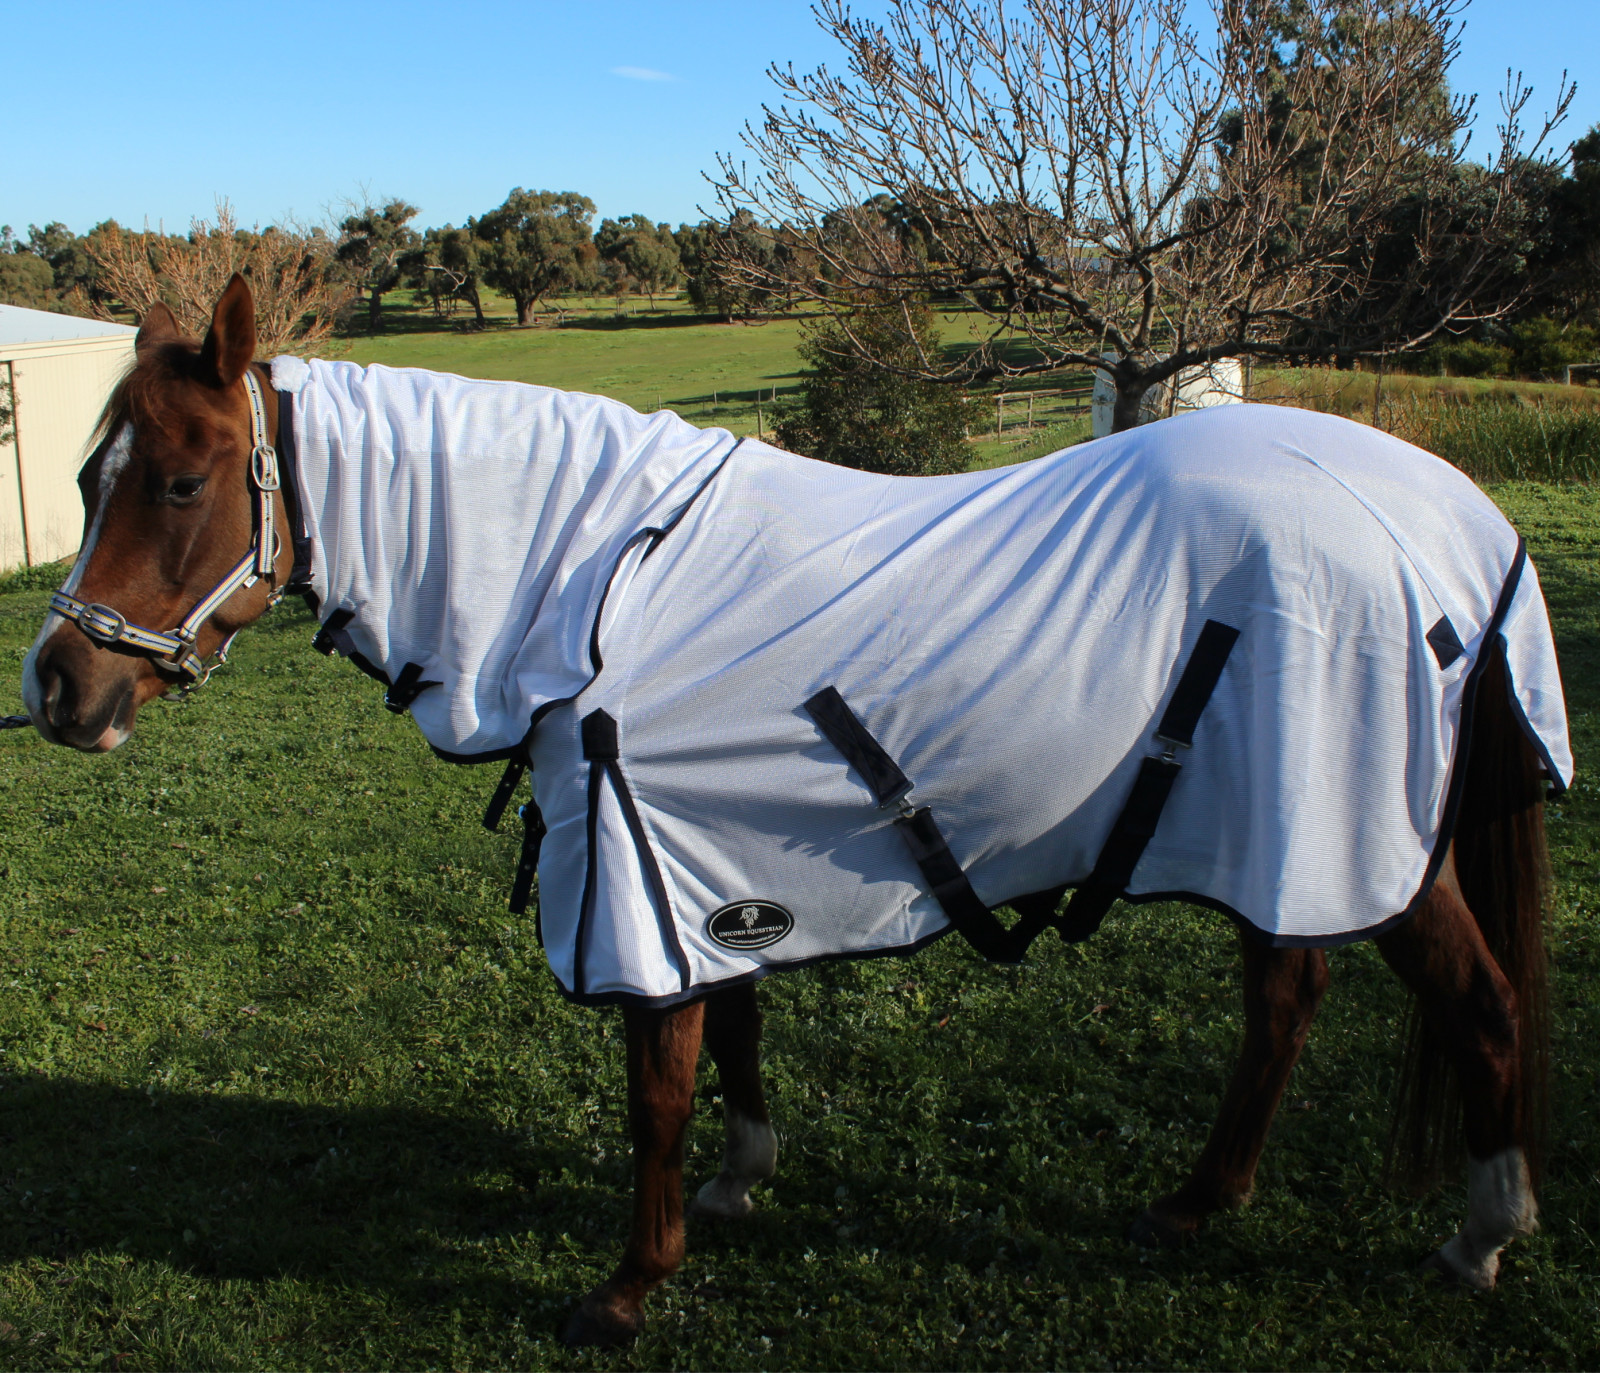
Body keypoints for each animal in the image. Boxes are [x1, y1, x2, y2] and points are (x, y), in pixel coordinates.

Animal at [21, 275, 1566, 1347]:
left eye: (179, 481)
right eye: (88, 478)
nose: (58, 689)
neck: (588, 580)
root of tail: (1452, 517)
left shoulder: (637, 870)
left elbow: (656, 1085)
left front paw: (627, 1286)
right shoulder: (695, 856)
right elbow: (733, 1035)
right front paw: (736, 1185)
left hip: (1361, 834)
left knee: (1483, 1006)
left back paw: (1481, 1236)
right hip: (1272, 832)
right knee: (1286, 998)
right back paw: (1204, 1197)